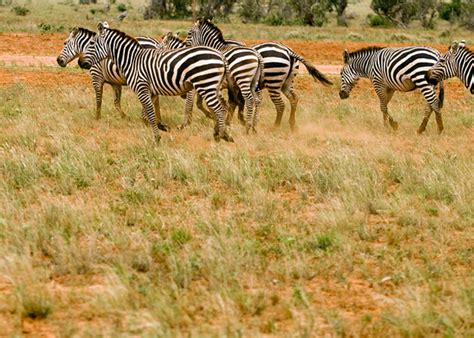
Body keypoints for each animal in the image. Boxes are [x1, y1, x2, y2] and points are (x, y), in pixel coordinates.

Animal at [81, 21, 233, 143]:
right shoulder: (151, 92)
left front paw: (157, 138)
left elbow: (150, 114)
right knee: (222, 106)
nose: (80, 63)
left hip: (206, 85)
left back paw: (222, 136)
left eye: (91, 43)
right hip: (213, 86)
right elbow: (147, 114)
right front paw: (162, 127)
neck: (132, 61)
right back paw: (220, 133)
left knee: (219, 109)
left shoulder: (142, 89)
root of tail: (220, 55)